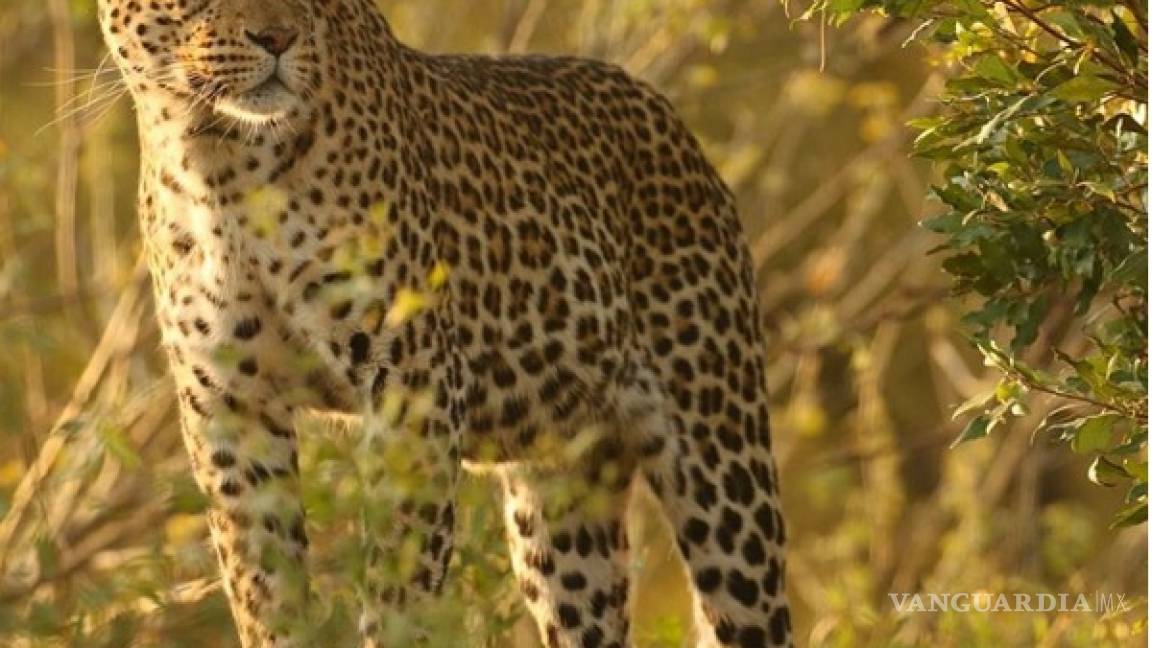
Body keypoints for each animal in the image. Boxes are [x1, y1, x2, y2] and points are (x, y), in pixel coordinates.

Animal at [96, 0, 792, 641]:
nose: (277, 38)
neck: (223, 166)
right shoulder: (229, 404)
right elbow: (263, 584)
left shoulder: (412, 385)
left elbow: (397, 581)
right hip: (564, 508)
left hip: (721, 461)